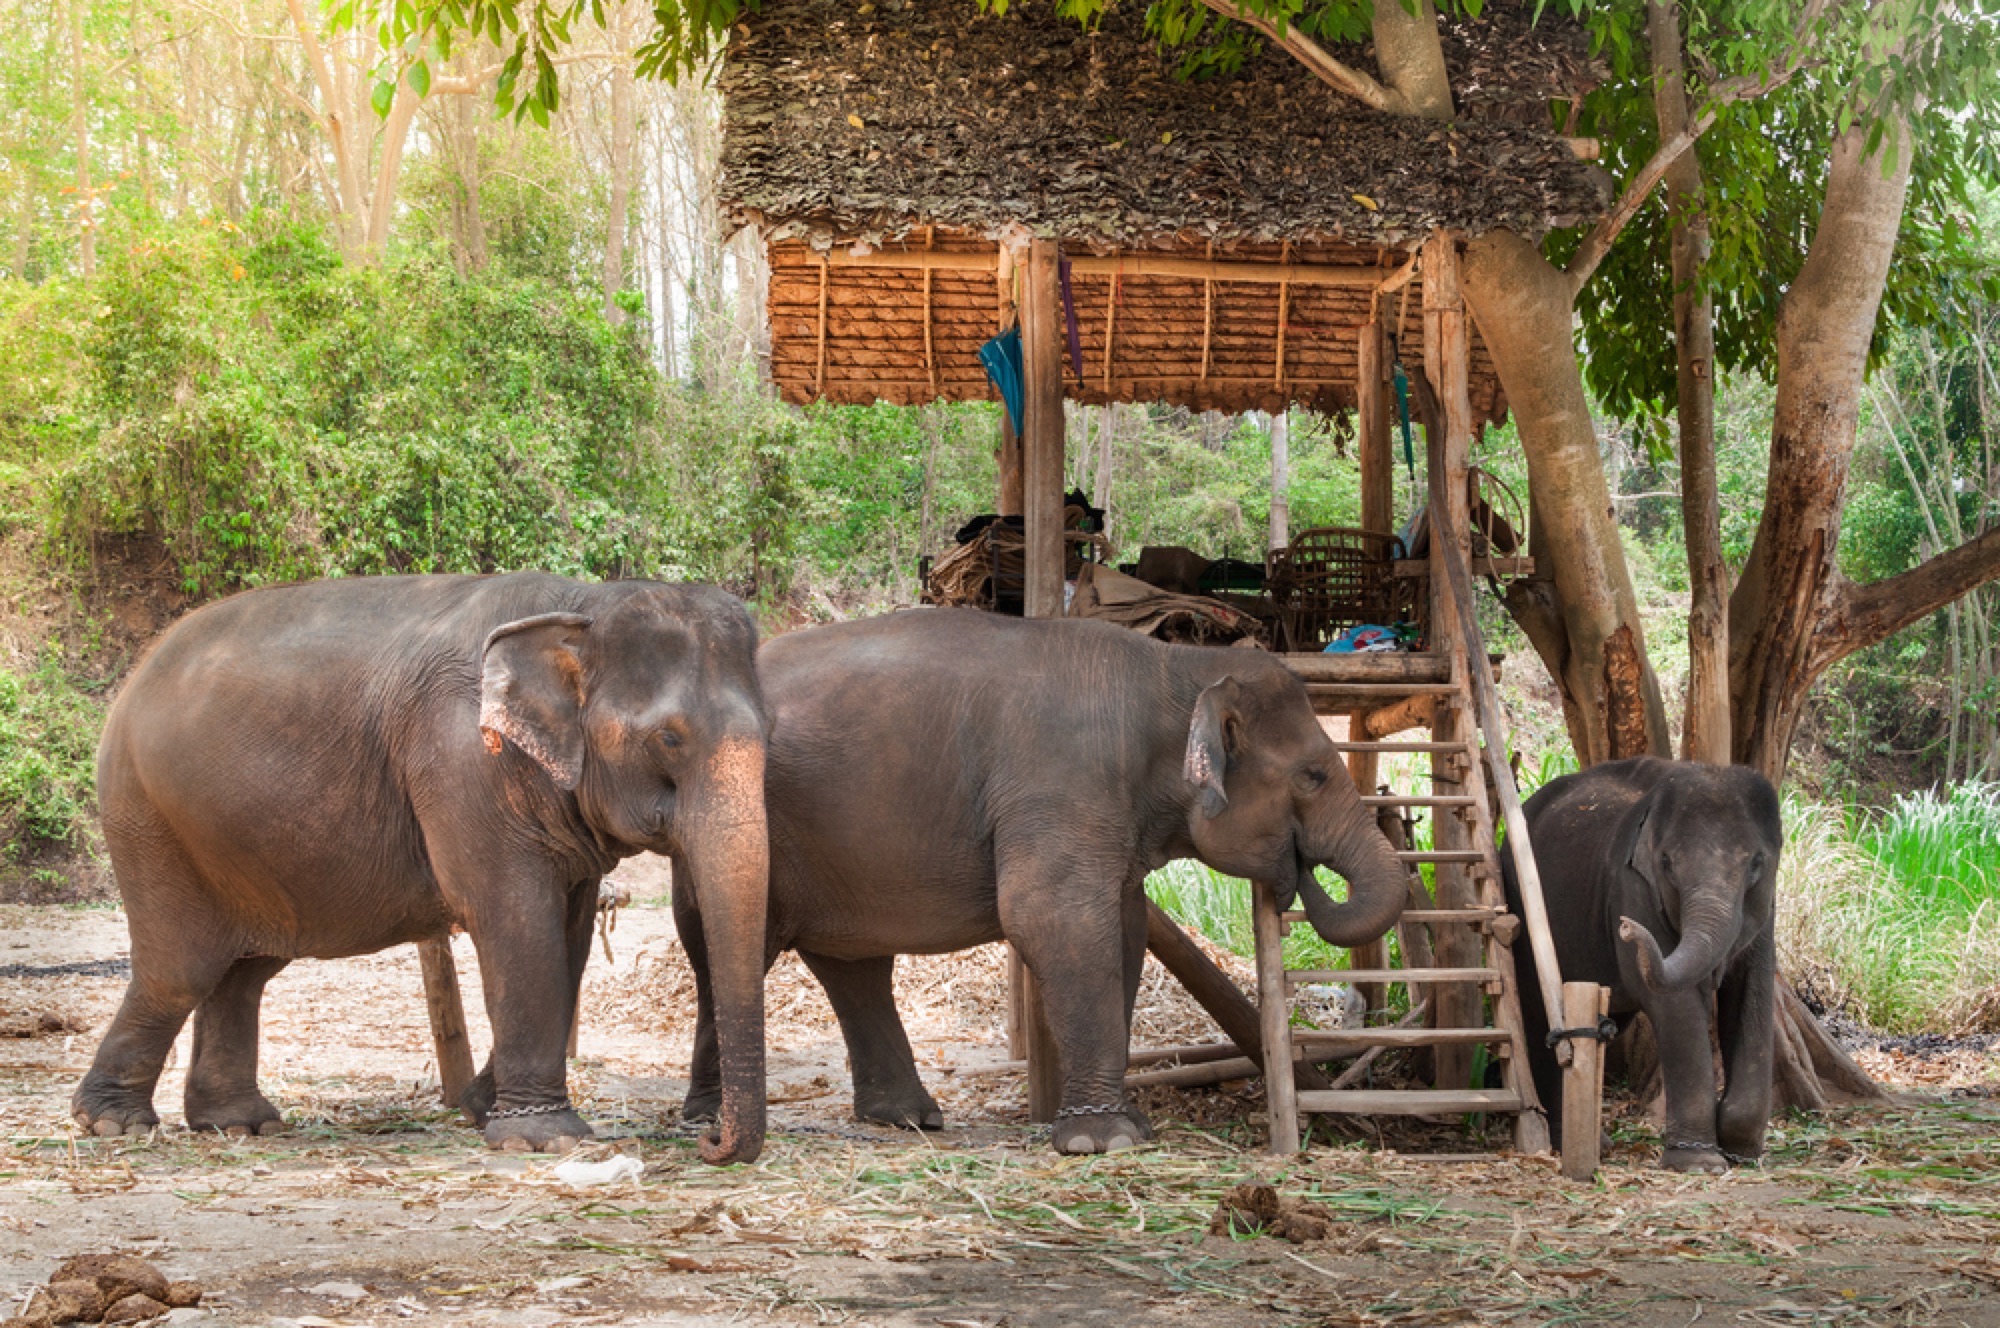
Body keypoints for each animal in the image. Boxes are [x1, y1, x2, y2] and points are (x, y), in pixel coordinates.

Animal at [73, 572, 771, 1162]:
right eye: (669, 740)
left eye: (769, 734)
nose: (707, 1141)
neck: (583, 603)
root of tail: (135, 675)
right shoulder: (462, 762)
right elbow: (516, 922)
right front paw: (544, 1139)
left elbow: (567, 936)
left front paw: (486, 1110)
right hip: (150, 821)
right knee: (179, 970)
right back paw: (112, 1123)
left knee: (244, 972)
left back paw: (241, 1124)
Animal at [675, 608, 1408, 1155]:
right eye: (1313, 774)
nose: (1291, 879)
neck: (1175, 668)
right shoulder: (1063, 781)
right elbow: (1052, 917)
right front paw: (1104, 1142)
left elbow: (1124, 928)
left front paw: (1121, 1128)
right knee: (731, 952)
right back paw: (714, 1122)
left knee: (851, 964)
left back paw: (905, 1119)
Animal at [1502, 756, 1781, 1173]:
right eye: (1667, 863)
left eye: (1756, 864)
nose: (1626, 928)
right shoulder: (1631, 885)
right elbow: (1674, 1004)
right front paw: (1699, 1164)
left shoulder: (1768, 906)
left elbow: (1754, 990)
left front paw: (1740, 1151)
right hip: (1520, 901)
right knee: (1539, 1012)